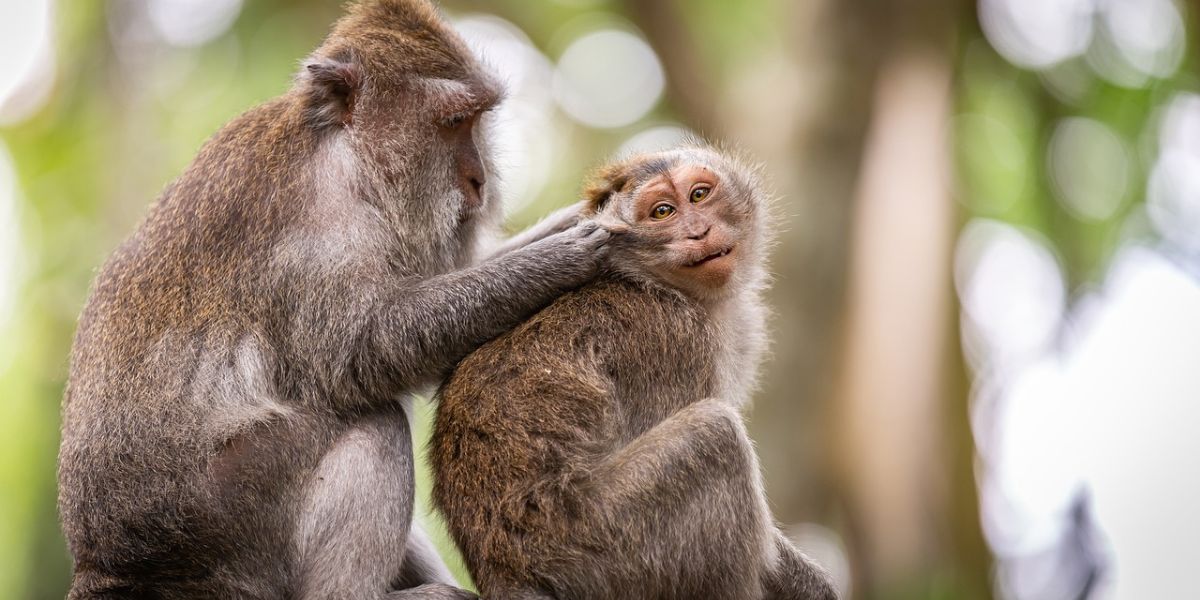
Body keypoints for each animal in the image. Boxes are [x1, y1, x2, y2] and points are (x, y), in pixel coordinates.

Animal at [58, 2, 619, 597]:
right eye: (453, 122)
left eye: (476, 120)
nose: (479, 180)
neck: (345, 151)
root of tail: (107, 564)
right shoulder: (319, 226)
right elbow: (367, 348)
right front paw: (558, 260)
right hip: (224, 522)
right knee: (374, 422)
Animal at [429, 145, 835, 600]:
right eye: (662, 212)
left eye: (699, 195)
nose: (698, 232)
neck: (657, 284)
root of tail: (504, 575)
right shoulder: (676, 344)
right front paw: (811, 584)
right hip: (598, 549)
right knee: (716, 435)